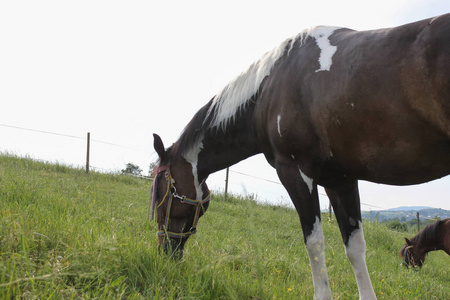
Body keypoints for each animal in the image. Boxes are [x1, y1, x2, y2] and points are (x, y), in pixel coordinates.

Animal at [150, 14, 450, 300]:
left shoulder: (294, 172)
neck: (267, 88)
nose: (165, 252)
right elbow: (354, 247)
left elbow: (314, 243)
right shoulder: (340, 180)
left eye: (161, 195)